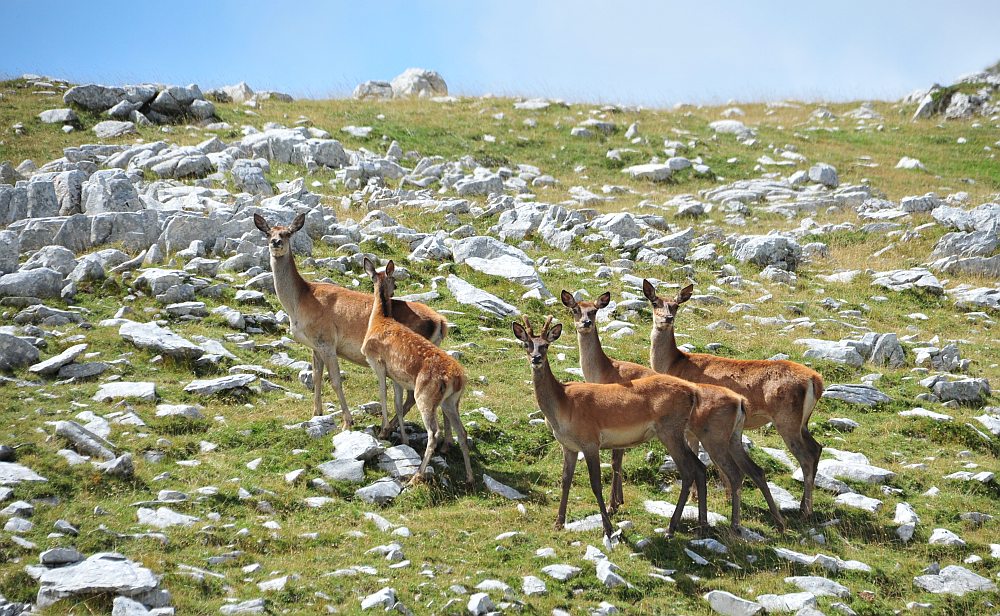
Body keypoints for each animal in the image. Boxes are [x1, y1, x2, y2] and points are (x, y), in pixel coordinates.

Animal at [254, 213, 450, 434]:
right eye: (268, 232)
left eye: (288, 233)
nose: (276, 242)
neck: (299, 302)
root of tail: (440, 322)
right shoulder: (315, 346)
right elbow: (316, 377)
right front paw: (316, 414)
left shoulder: (327, 340)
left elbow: (335, 381)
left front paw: (347, 421)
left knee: (411, 395)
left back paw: (388, 427)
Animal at [362, 258, 474, 484]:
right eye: (393, 279)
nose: (395, 287)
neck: (379, 320)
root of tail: (457, 379)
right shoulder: (397, 377)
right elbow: (397, 404)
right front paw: (401, 438)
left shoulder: (378, 364)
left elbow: (383, 396)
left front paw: (383, 432)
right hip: (451, 401)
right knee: (463, 431)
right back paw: (469, 477)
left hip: (425, 397)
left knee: (434, 433)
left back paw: (417, 475)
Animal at [512, 318, 708, 540]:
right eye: (526, 344)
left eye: (545, 345)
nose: (536, 358)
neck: (563, 407)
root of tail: (692, 392)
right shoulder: (568, 446)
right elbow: (565, 480)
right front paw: (558, 523)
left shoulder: (590, 441)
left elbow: (596, 484)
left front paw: (608, 528)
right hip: (677, 433)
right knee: (700, 467)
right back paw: (702, 526)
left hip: (669, 430)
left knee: (688, 471)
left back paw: (671, 527)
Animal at [564, 292, 788, 532]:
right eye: (575, 309)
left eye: (594, 310)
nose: (586, 323)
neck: (606, 371)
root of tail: (740, 401)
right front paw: (617, 501)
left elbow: (616, 462)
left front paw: (613, 504)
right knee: (752, 471)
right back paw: (775, 521)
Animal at [644, 282, 824, 516]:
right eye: (655, 302)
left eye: (675, 305)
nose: (667, 318)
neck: (674, 364)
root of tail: (816, 380)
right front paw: (728, 494)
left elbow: (698, 453)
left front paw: (696, 496)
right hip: (803, 421)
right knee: (817, 448)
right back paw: (804, 505)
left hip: (787, 418)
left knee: (806, 456)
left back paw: (806, 510)